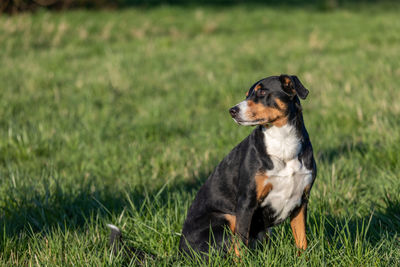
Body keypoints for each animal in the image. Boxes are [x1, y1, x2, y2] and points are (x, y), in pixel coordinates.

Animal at [180, 74, 318, 258]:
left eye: (262, 92)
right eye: (247, 95)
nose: (232, 110)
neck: (283, 146)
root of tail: (180, 251)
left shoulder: (301, 200)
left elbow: (302, 239)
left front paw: (304, 259)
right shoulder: (246, 201)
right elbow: (240, 244)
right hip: (226, 218)